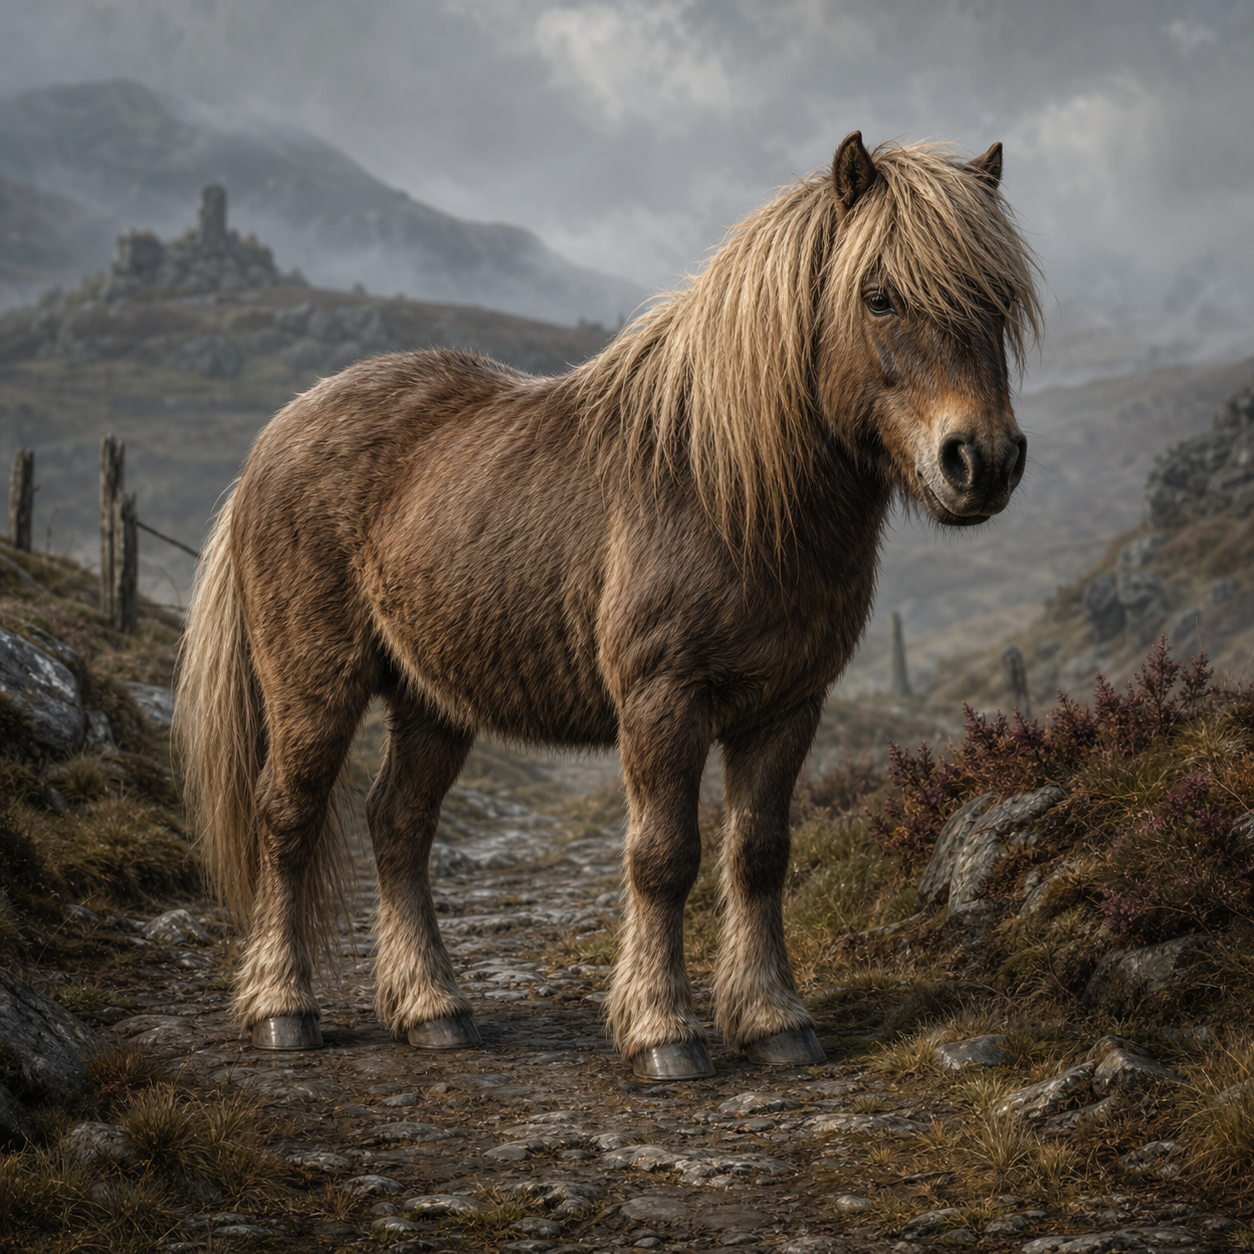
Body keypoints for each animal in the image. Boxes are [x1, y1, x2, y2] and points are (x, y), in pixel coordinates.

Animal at [176, 132, 1041, 1080]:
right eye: (878, 295)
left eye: (999, 299)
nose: (983, 462)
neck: (722, 485)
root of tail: (279, 433)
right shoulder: (663, 699)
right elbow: (664, 858)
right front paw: (663, 1031)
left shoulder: (787, 707)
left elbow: (759, 855)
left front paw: (773, 1020)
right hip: (313, 686)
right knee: (287, 818)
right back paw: (282, 1009)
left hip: (431, 700)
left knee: (398, 824)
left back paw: (433, 1009)